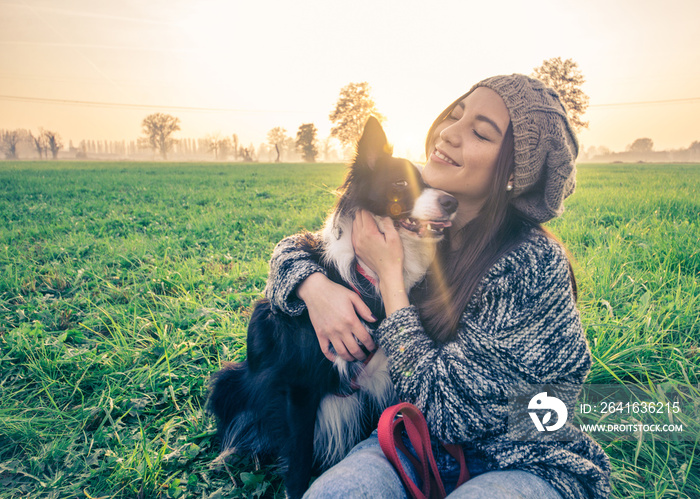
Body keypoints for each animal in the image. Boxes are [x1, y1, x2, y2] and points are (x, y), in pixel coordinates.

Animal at [208, 116, 460, 496]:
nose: (452, 202)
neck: (369, 274)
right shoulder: (298, 387)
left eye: (433, 182)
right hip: (229, 380)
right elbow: (298, 461)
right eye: (400, 183)